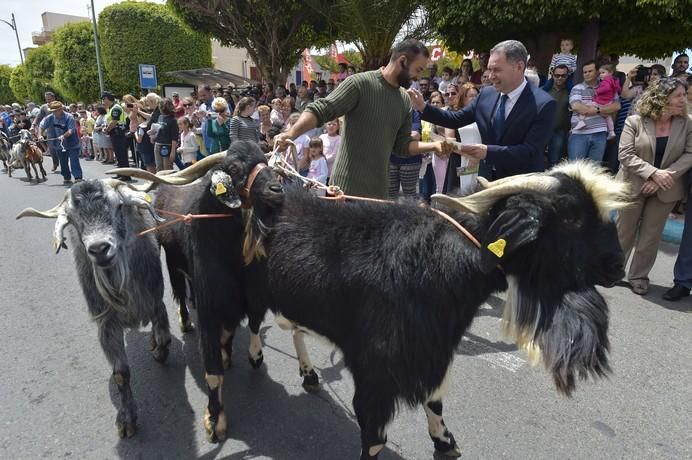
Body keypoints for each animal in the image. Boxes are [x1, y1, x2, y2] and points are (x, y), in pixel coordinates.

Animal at [17, 179, 172, 438]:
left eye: (119, 206)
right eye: (72, 218)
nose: (99, 249)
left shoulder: (156, 301)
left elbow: (164, 336)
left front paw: (159, 352)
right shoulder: (106, 324)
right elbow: (121, 374)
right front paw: (127, 419)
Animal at [109, 142, 322, 444]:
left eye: (263, 159)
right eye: (233, 167)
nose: (277, 190)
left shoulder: (252, 295)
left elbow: (250, 325)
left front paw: (245, 355)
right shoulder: (210, 306)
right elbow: (213, 373)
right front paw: (215, 420)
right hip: (172, 262)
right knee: (179, 292)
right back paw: (185, 321)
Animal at [262, 160, 628, 458]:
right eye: (570, 217)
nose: (617, 266)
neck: (436, 260)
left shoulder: (433, 354)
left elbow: (435, 401)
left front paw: (445, 441)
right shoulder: (375, 370)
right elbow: (374, 438)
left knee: (294, 330)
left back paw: (309, 375)